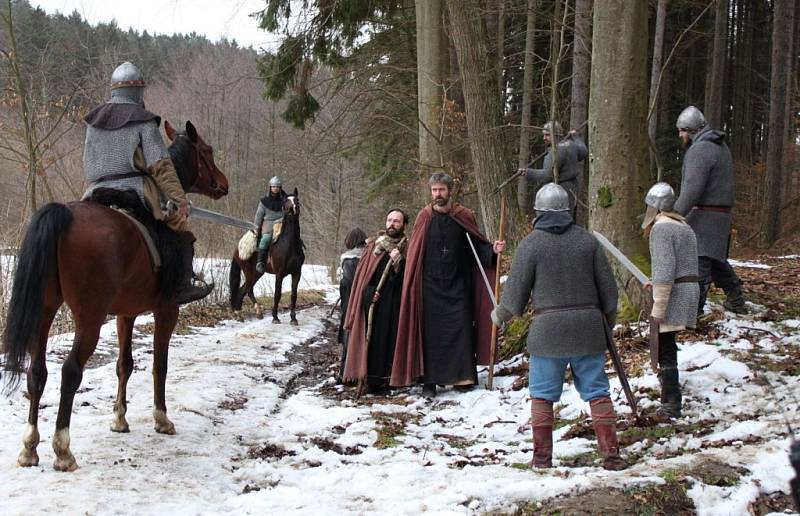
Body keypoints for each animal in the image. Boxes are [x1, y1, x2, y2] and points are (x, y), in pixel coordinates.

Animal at [2, 120, 228, 472]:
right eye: (206, 151)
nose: (223, 184)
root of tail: (64, 214)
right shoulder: (167, 310)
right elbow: (159, 364)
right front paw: (161, 418)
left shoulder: (126, 313)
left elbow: (125, 364)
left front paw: (119, 419)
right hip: (90, 318)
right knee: (70, 371)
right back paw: (63, 450)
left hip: (45, 310)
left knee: (36, 372)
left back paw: (29, 447)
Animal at [233, 187, 308, 324]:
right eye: (285, 201)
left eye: (297, 200)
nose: (292, 209)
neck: (289, 244)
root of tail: (237, 249)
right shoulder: (279, 274)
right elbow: (277, 294)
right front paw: (275, 317)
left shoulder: (296, 273)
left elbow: (294, 295)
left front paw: (293, 318)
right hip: (250, 272)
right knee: (244, 290)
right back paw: (240, 314)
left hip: (257, 273)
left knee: (247, 289)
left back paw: (253, 313)